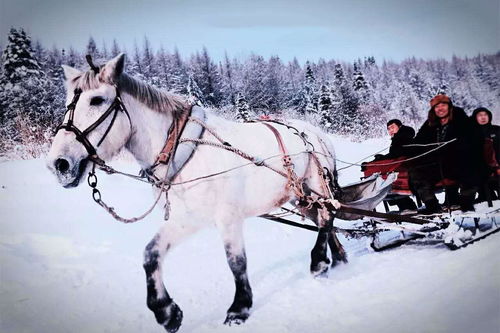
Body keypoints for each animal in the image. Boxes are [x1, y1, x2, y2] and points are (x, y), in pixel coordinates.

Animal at [47, 53, 348, 330]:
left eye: (97, 100)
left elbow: (236, 262)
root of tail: (317, 134)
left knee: (326, 217)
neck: (183, 148)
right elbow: (151, 254)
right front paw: (166, 312)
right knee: (325, 219)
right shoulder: (187, 218)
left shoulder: (228, 217)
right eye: (67, 103)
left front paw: (239, 308)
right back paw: (337, 257)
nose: (58, 164)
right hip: (301, 198)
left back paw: (319, 262)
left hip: (316, 187)